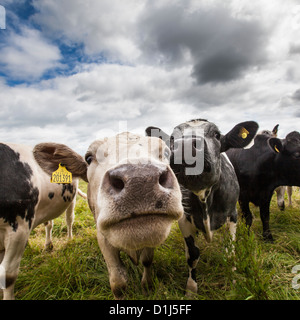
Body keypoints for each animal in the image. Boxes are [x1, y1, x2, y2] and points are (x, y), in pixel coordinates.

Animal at [0, 142, 86, 300]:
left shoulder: (19, 230)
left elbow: (7, 275)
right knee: (49, 224)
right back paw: (48, 245)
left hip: (72, 198)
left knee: (69, 220)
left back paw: (69, 239)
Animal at [32, 132, 183, 298]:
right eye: (89, 158)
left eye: (166, 153)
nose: (140, 180)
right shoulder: (103, 237)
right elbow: (118, 281)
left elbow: (147, 261)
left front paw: (147, 287)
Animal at [145, 119, 258, 296]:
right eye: (172, 138)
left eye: (217, 135)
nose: (184, 145)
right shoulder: (184, 219)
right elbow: (192, 255)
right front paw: (191, 289)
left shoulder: (232, 214)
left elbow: (230, 252)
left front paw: (233, 281)